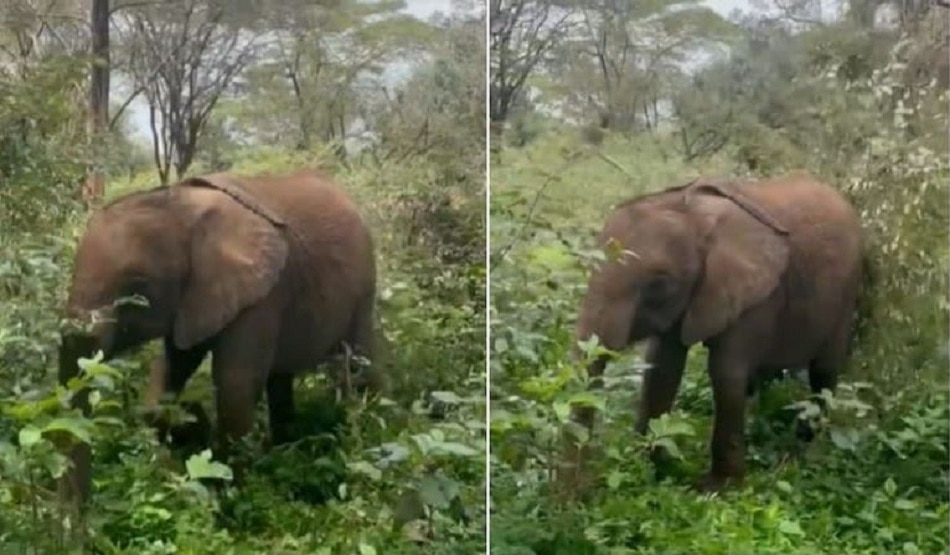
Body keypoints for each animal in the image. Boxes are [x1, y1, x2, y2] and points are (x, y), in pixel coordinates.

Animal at [59, 170, 381, 492]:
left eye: (138, 286)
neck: (181, 205)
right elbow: (173, 368)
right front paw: (187, 427)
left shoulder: (262, 295)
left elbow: (234, 384)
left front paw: (229, 492)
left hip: (363, 286)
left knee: (359, 365)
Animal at [566, 172, 863, 492]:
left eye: (659, 283)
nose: (584, 489)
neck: (693, 213)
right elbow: (662, 367)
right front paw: (652, 468)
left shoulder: (758, 296)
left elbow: (725, 372)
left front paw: (717, 488)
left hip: (847, 294)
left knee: (824, 373)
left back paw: (804, 451)